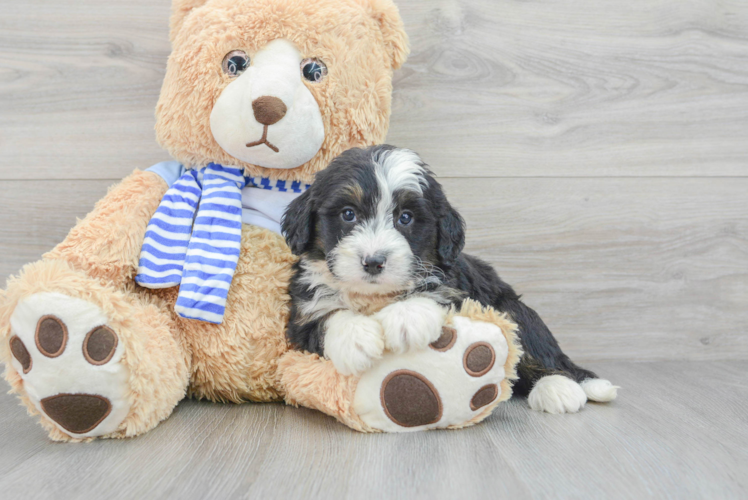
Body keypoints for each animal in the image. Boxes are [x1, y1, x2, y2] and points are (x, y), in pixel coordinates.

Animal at [282, 145, 620, 414]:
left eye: (406, 218)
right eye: (348, 214)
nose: (374, 262)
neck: (375, 297)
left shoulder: (459, 289)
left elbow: (434, 293)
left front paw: (406, 319)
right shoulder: (301, 312)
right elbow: (327, 315)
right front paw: (356, 339)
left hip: (514, 310)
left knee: (539, 356)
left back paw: (560, 388)